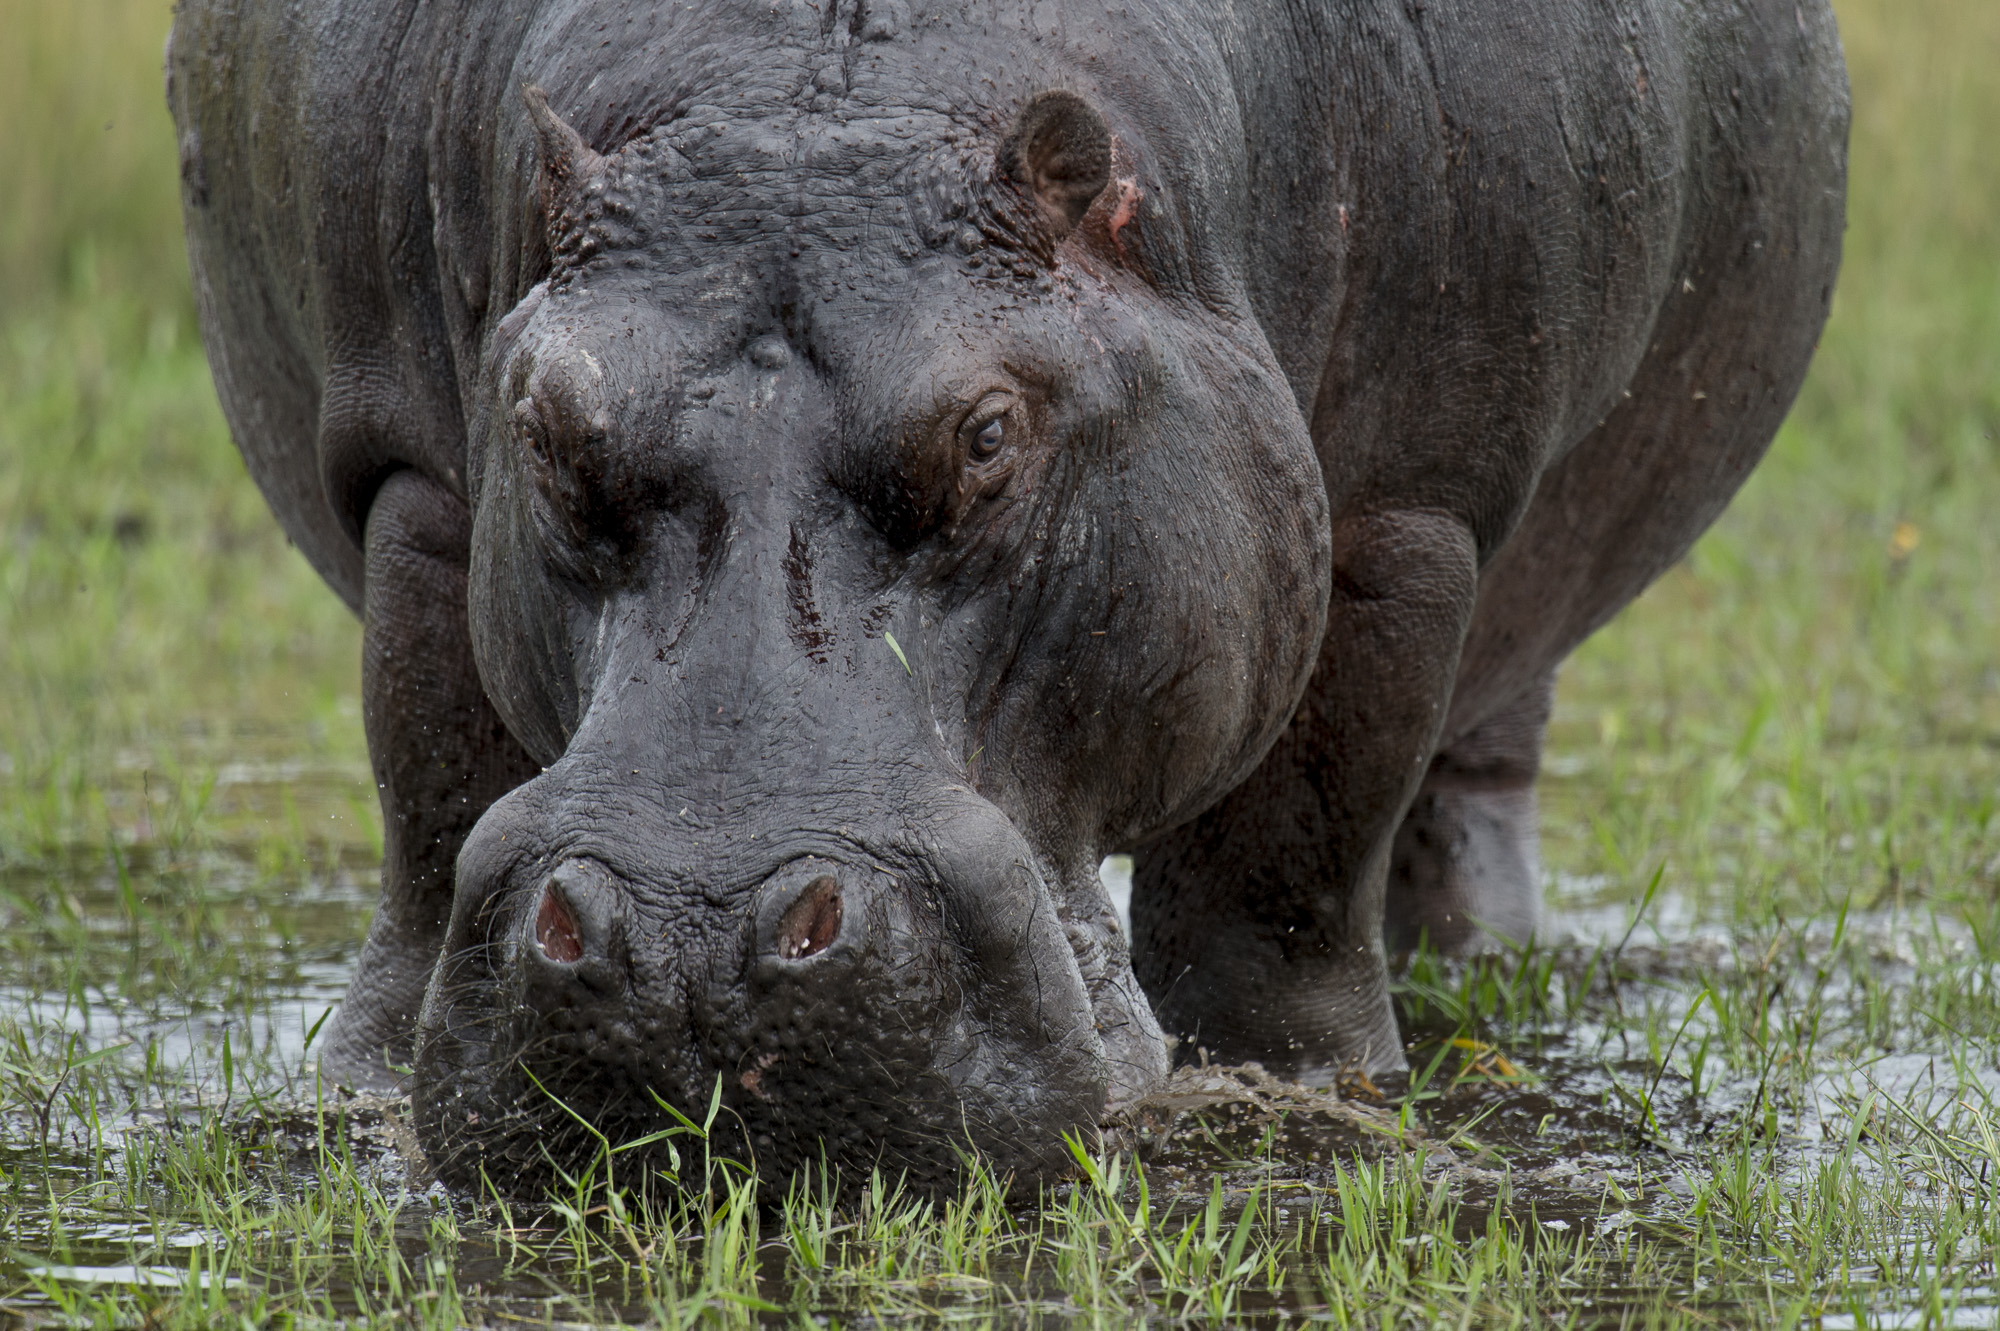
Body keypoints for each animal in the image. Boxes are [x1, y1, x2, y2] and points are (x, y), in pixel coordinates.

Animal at [166, 0, 1847, 1189]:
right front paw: (358, 1083)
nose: (693, 934)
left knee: (1467, 774)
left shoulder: (1407, 523)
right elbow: (431, 780)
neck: (831, 97)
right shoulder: (418, 485)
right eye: (549, 426)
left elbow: (1289, 863)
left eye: (989, 433)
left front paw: (1314, 1096)